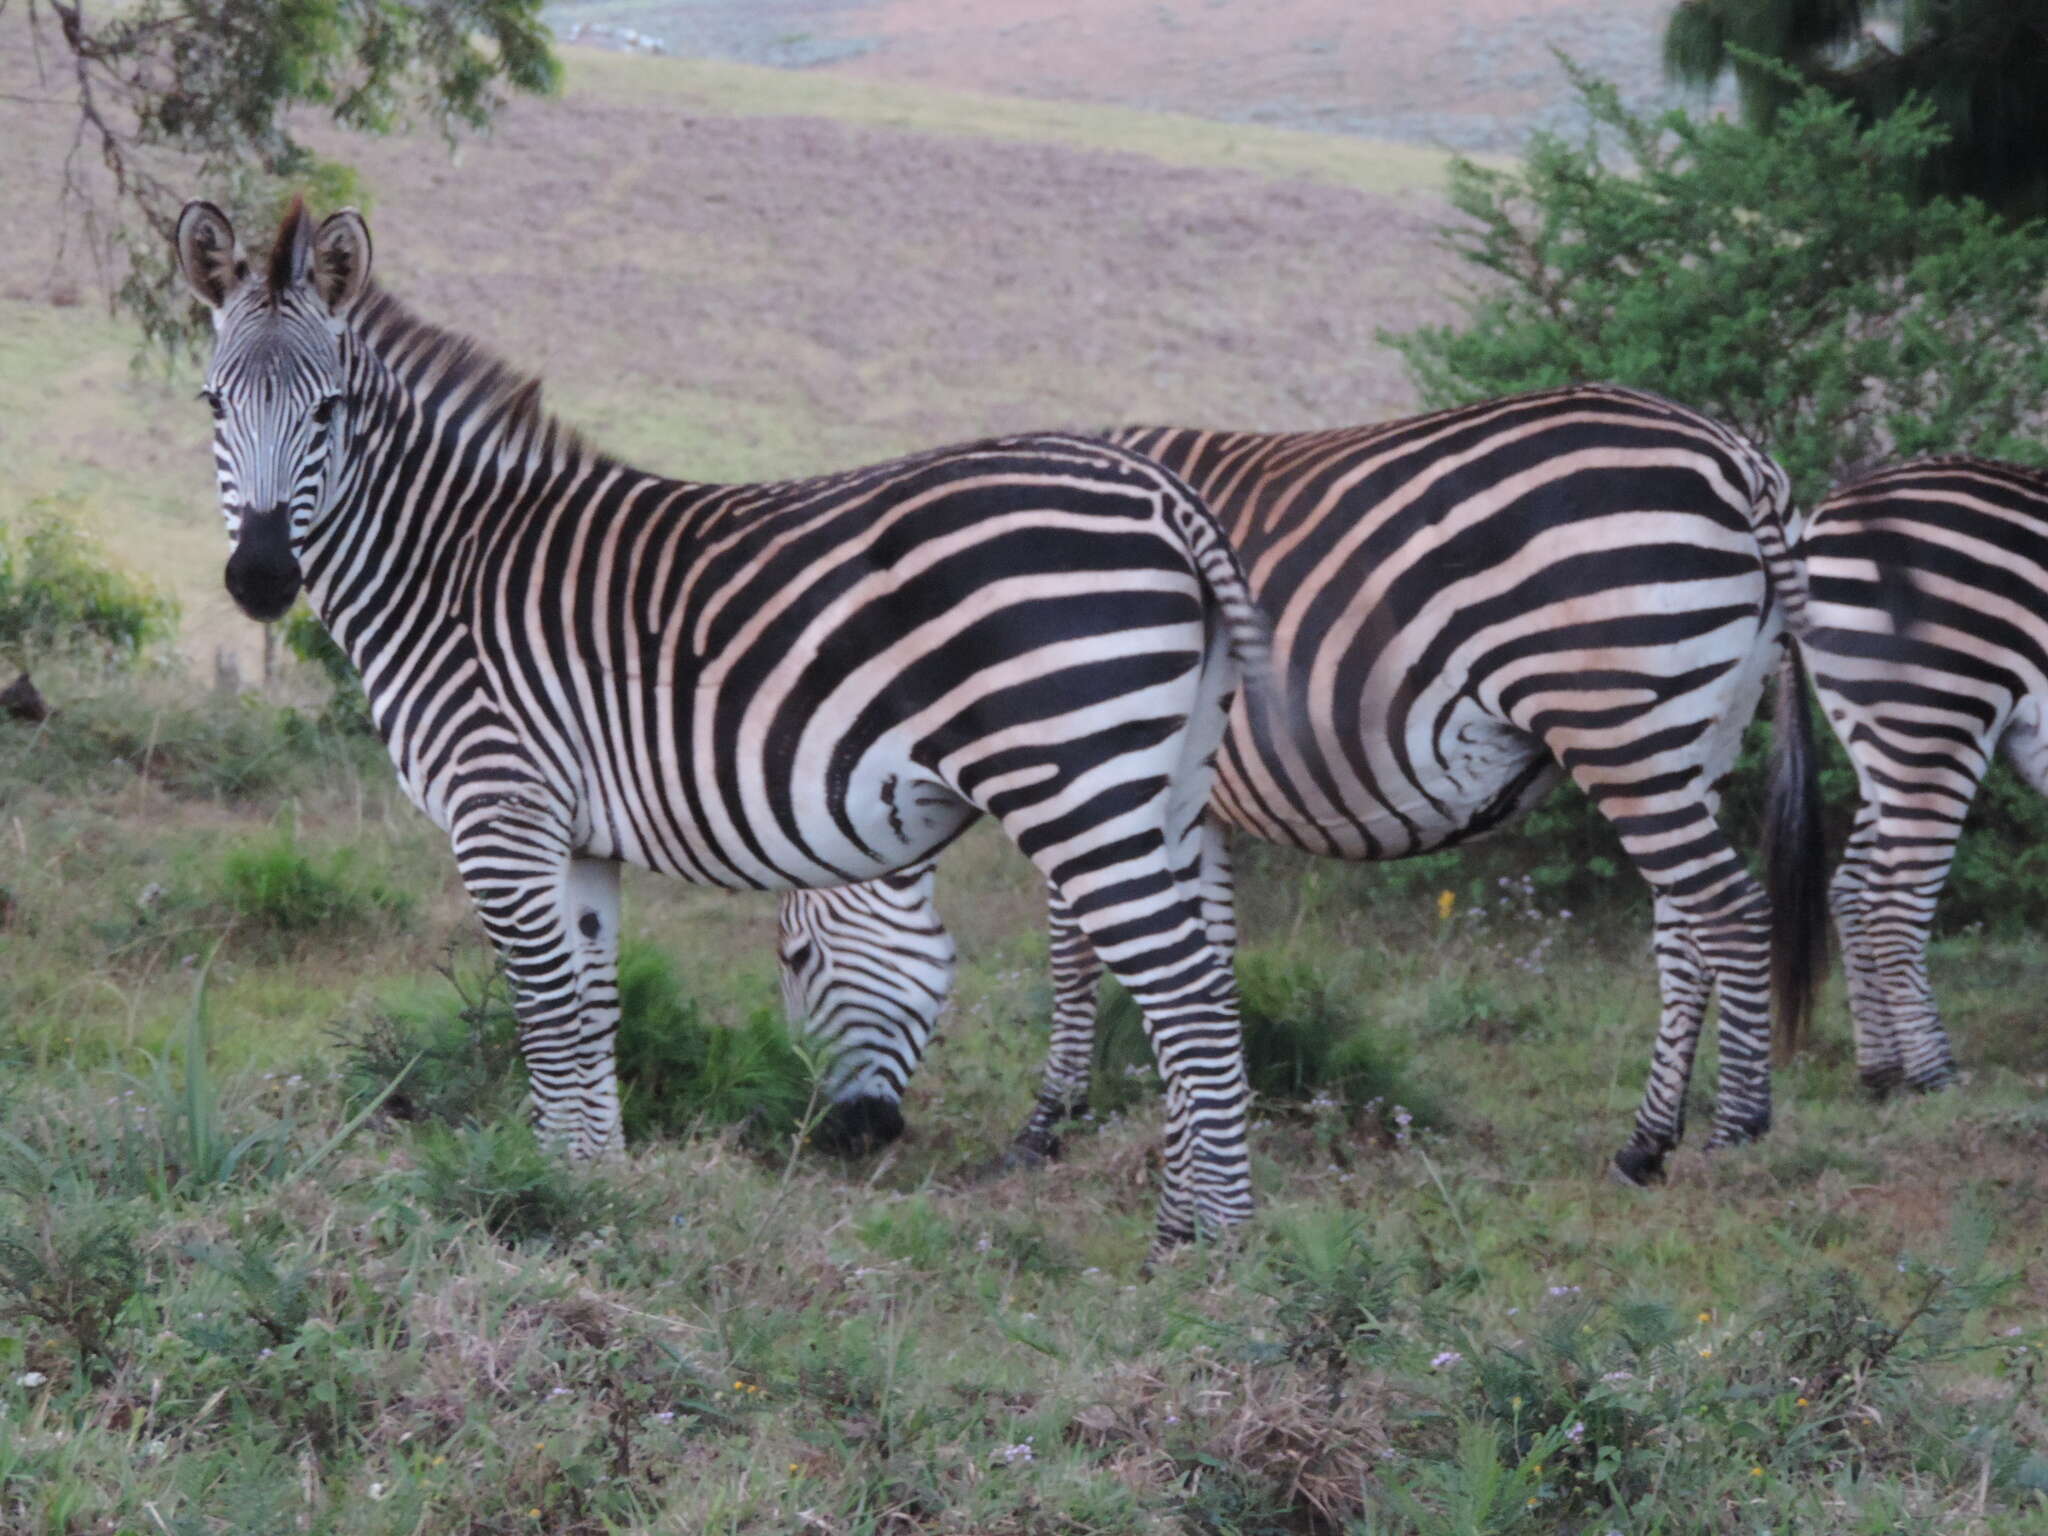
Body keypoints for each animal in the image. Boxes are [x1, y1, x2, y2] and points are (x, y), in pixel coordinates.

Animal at [176, 201, 1269, 1261]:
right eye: (213, 405)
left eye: (329, 411)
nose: (261, 579)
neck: (450, 565)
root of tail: (1161, 495)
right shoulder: (577, 836)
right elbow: (592, 1009)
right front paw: (592, 1193)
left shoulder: (499, 809)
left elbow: (544, 1010)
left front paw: (538, 1203)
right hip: (1168, 784)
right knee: (1210, 982)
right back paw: (1185, 1229)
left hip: (1074, 781)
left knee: (1180, 993)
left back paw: (1214, 1251)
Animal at [778, 387, 1826, 1187]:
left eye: (794, 960)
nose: (841, 1142)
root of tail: (1739, 458)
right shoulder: (1182, 804)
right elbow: (1203, 954)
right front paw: (1205, 1124)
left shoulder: (1083, 778)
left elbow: (1076, 957)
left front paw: (1049, 1127)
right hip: (1694, 734)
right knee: (1685, 928)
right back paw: (1648, 1143)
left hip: (1619, 720)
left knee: (1730, 911)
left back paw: (1733, 1136)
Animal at [1810, 460, 2048, 1105]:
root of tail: (1840, 502)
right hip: (1936, 720)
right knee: (1893, 902)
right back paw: (1935, 1075)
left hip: (1882, 740)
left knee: (1849, 889)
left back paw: (1882, 1071)